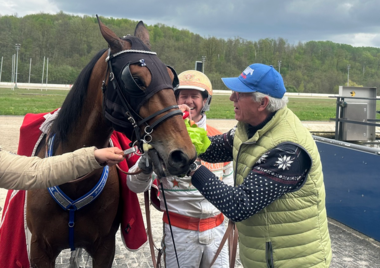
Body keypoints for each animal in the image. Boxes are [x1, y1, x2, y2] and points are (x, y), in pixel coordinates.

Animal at [24, 17, 196, 268]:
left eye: (169, 76)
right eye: (136, 79)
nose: (183, 154)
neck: (73, 179)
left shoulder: (104, 247)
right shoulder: (39, 250)